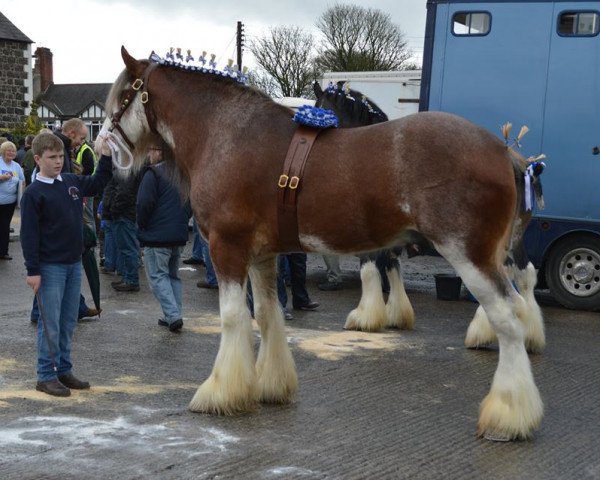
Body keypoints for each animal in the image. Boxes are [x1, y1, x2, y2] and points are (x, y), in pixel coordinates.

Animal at [102, 47, 544, 440]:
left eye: (123, 97)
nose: (107, 147)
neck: (226, 134)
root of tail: (505, 152)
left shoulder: (228, 249)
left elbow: (233, 318)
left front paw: (222, 392)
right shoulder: (263, 257)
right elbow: (267, 315)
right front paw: (271, 386)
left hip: (469, 254)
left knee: (509, 316)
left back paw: (508, 415)